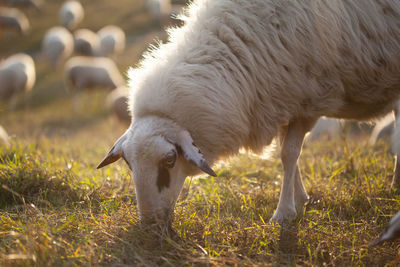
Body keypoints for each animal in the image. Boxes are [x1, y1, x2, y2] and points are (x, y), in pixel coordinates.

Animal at [96, 0, 400, 226]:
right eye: (128, 163)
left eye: (170, 160)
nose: (150, 223)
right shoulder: (282, 100)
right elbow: (289, 154)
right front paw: (300, 197)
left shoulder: (306, 100)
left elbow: (288, 154)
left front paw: (284, 213)